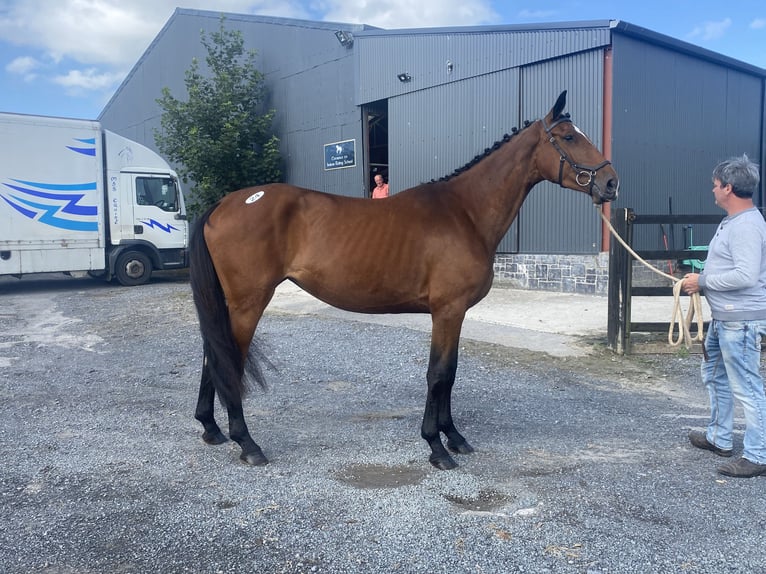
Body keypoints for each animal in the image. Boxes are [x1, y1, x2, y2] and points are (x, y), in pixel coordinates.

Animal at [189, 89, 620, 468]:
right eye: (569, 136)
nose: (611, 182)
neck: (465, 212)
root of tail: (223, 203)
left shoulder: (453, 314)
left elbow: (450, 373)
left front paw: (454, 436)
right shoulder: (448, 310)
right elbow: (439, 374)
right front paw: (437, 446)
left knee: (214, 355)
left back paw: (212, 428)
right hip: (248, 302)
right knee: (228, 358)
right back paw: (247, 443)